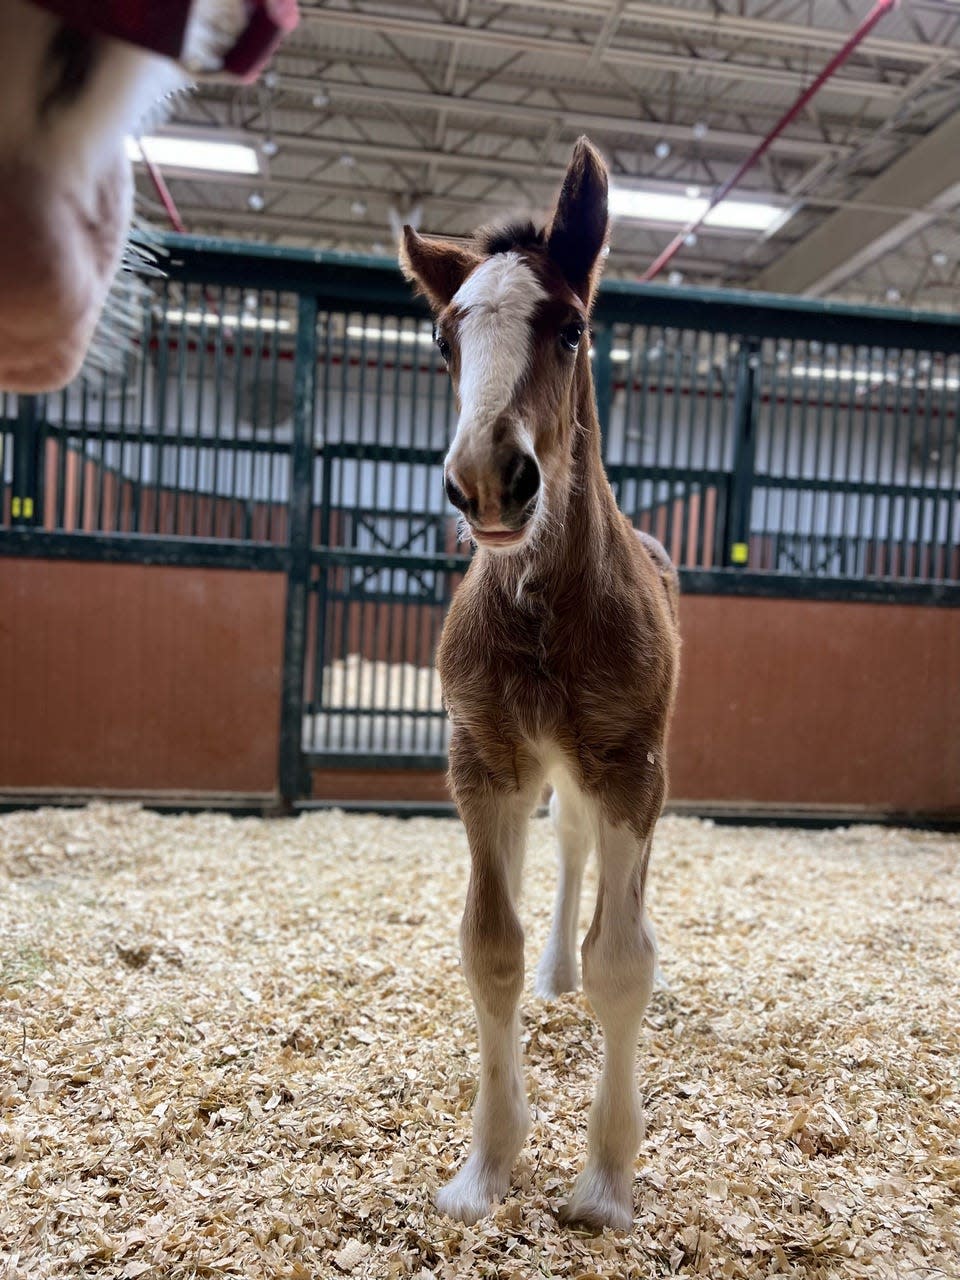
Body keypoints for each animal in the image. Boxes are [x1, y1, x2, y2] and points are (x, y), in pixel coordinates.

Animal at [401, 137, 680, 1228]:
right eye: (444, 339)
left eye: (571, 328)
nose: (488, 477)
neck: (544, 613)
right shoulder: (484, 763)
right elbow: (491, 948)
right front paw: (484, 1168)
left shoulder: (633, 766)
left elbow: (625, 960)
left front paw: (604, 1182)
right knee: (568, 853)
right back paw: (558, 970)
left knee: (599, 868)